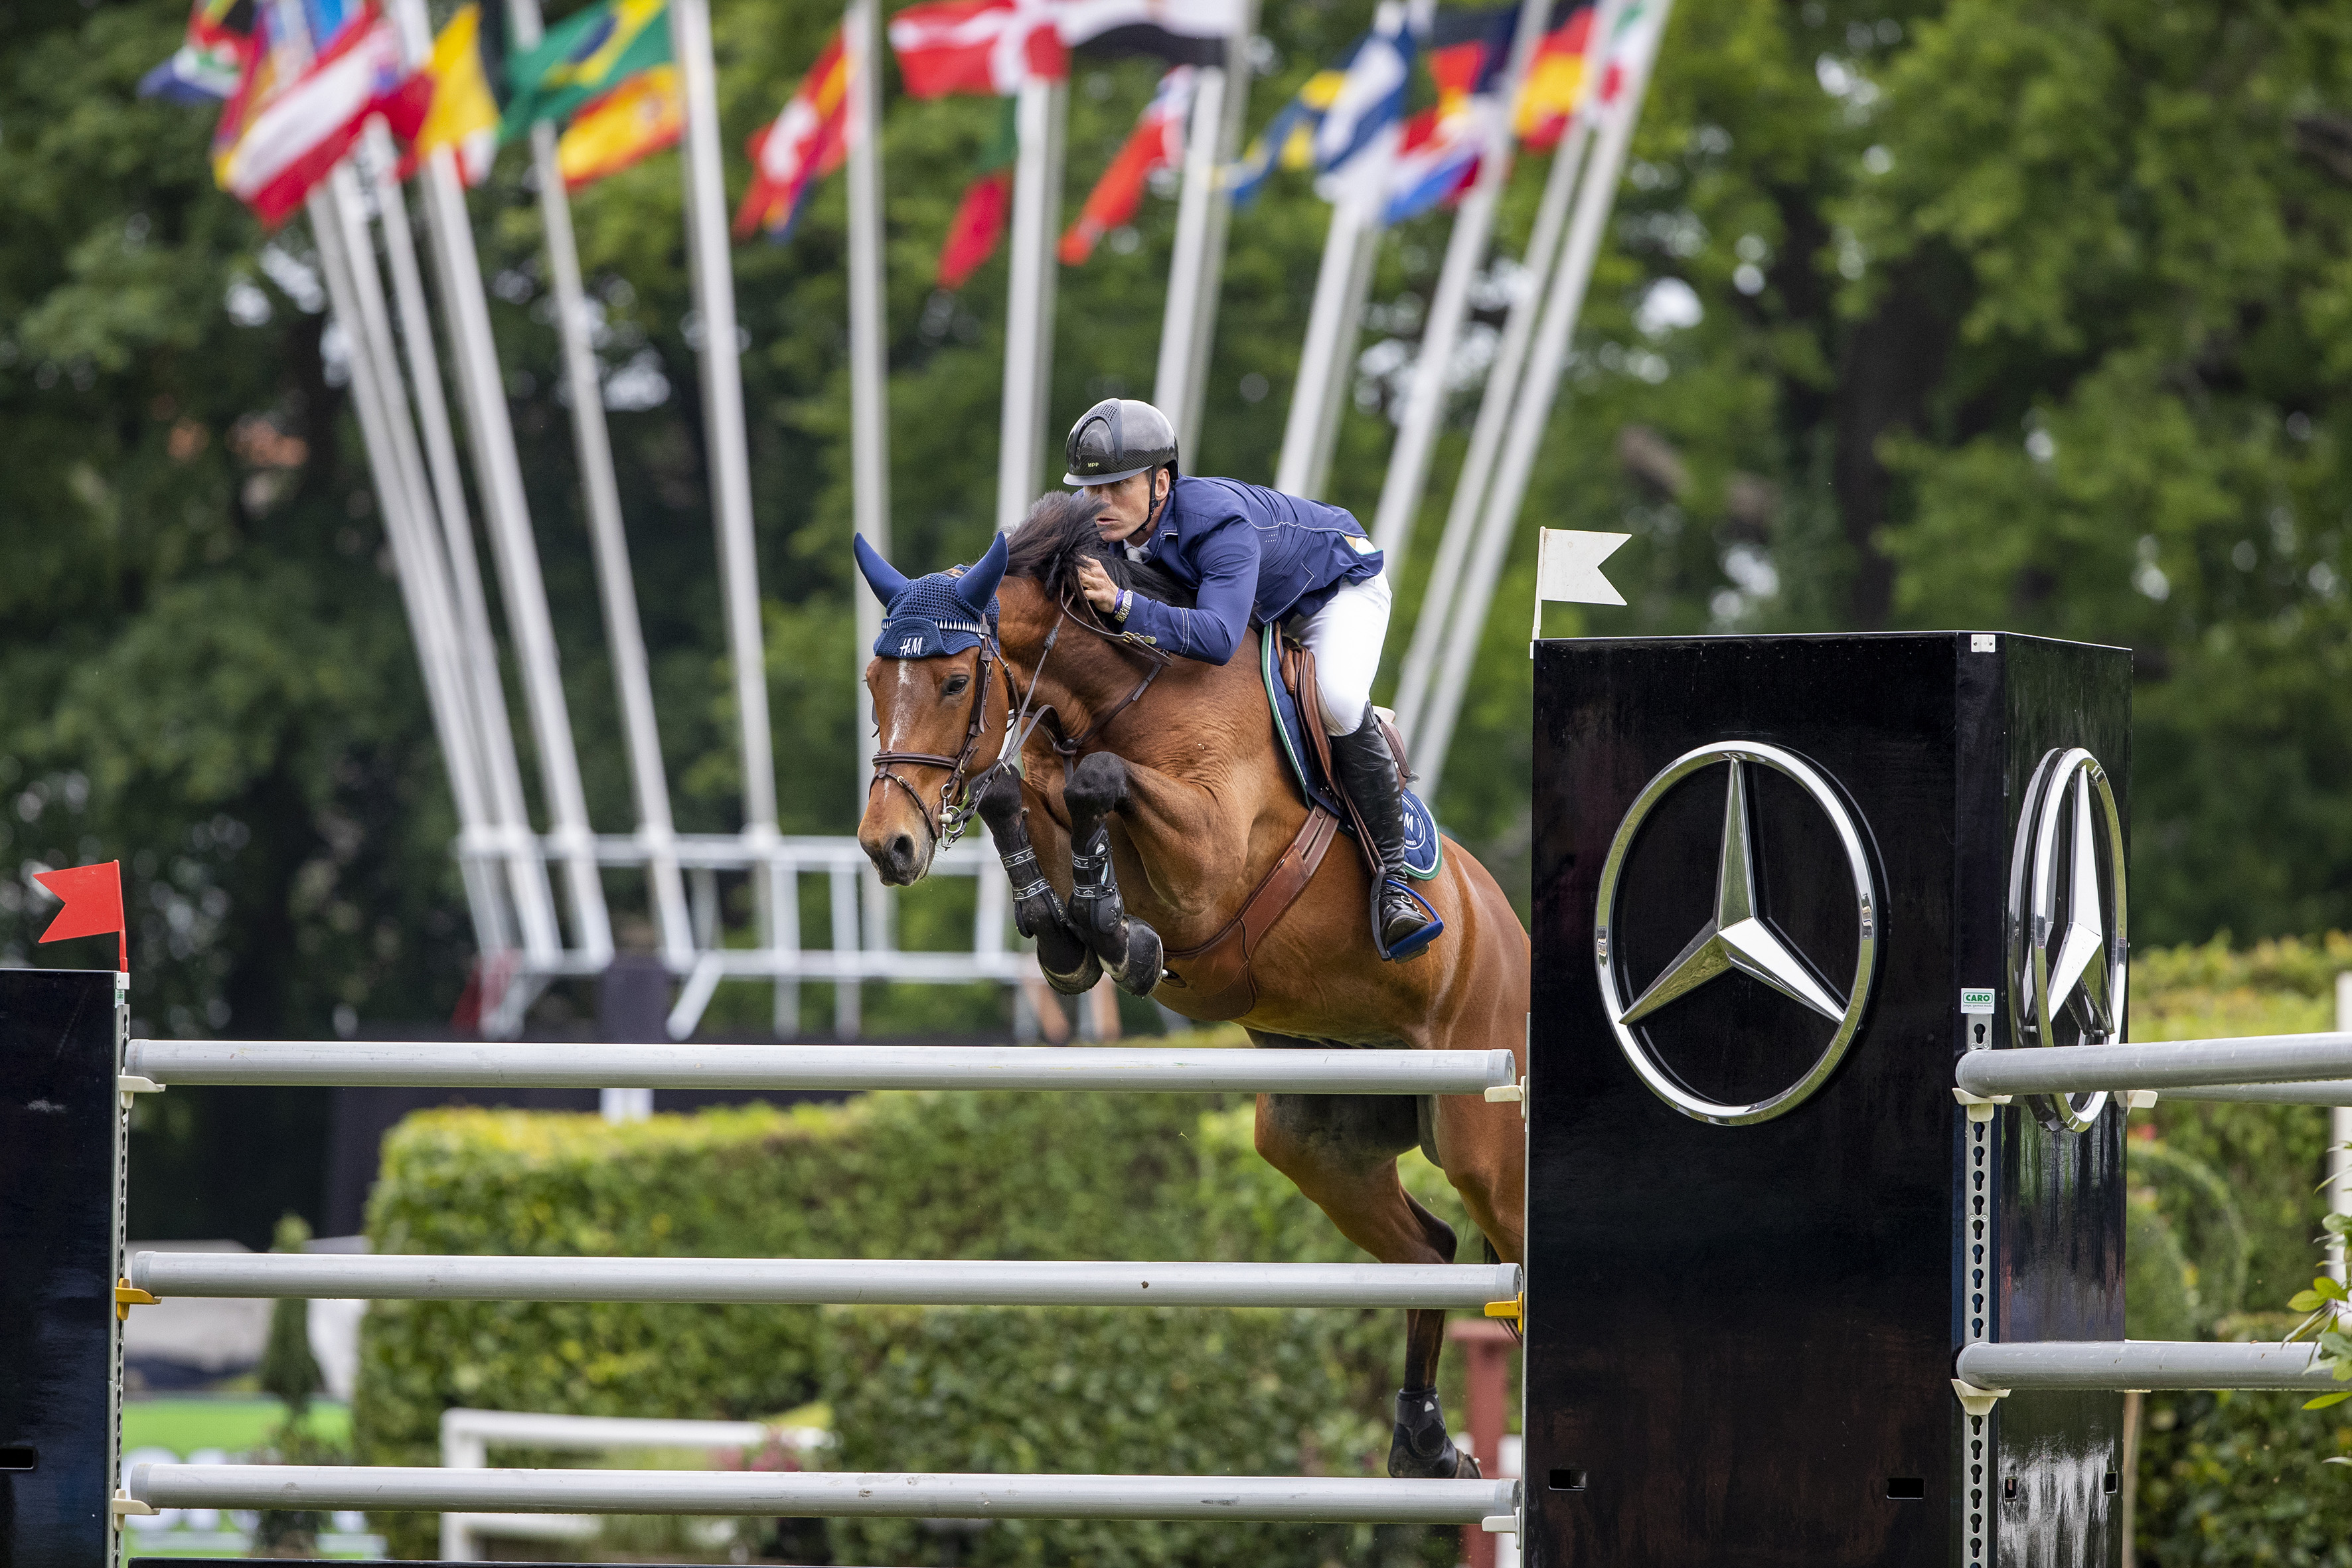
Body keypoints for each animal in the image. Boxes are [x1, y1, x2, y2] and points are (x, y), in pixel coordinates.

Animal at [856, 493, 1533, 1486]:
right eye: (875, 680)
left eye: (949, 684)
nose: (887, 845)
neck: (1125, 695)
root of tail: (1510, 938)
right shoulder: (1056, 777)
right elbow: (1023, 789)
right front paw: (1076, 929)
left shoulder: (1211, 859)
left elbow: (1095, 784)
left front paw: (1116, 931)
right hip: (1318, 1144)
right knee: (1433, 1252)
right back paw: (1423, 1443)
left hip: (1488, 1141)